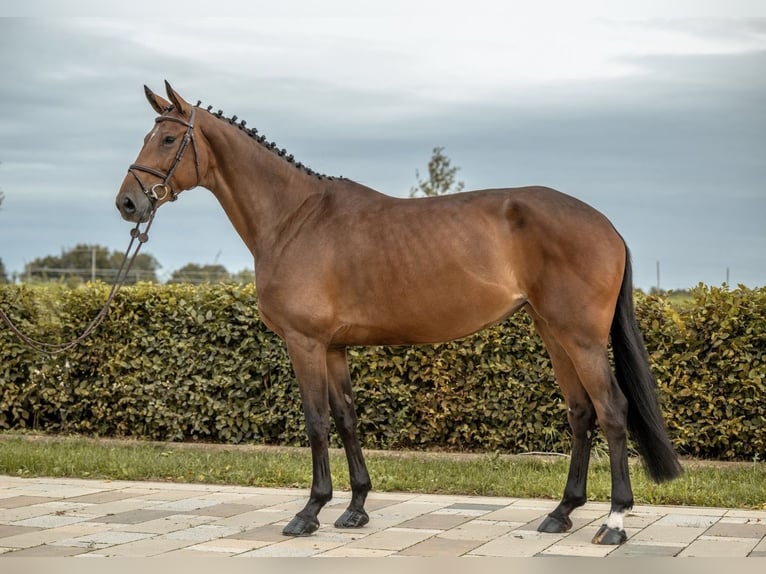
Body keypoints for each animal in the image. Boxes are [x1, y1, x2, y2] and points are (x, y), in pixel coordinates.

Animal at [115, 81, 684, 544]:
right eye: (149, 134)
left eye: (168, 140)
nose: (128, 204)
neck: (295, 218)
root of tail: (605, 225)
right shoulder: (335, 346)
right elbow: (346, 418)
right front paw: (355, 508)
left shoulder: (305, 342)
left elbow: (316, 422)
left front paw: (309, 513)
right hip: (552, 331)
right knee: (581, 413)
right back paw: (562, 513)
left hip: (580, 336)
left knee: (611, 410)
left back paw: (614, 522)